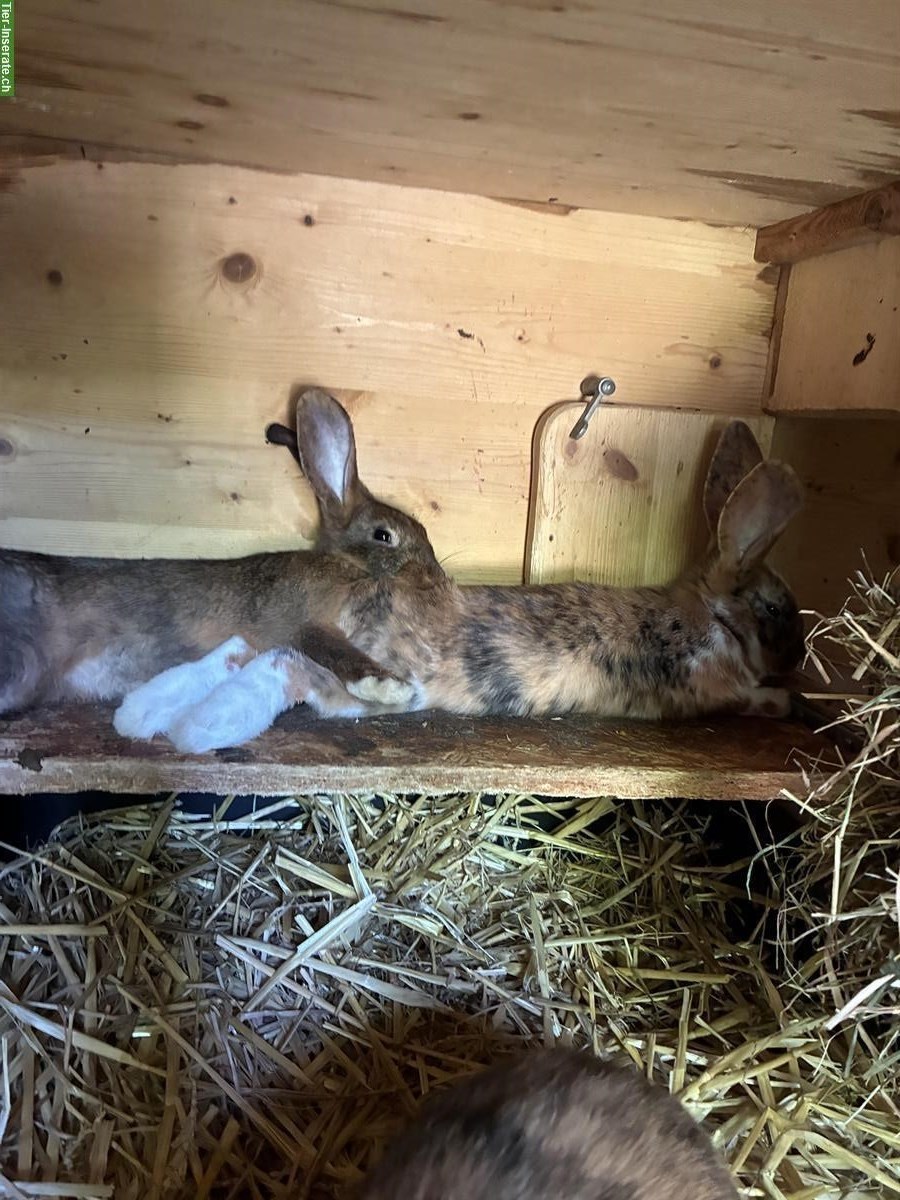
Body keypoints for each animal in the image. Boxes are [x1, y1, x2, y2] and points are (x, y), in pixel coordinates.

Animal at [0, 389, 446, 722]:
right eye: (384, 535)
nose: (435, 576)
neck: (345, 564)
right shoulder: (301, 620)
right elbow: (335, 652)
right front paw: (393, 687)